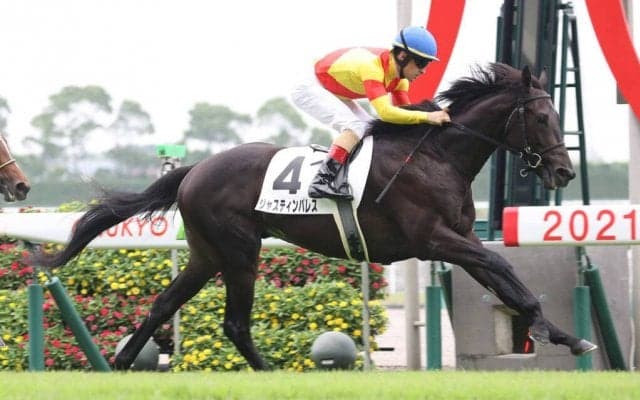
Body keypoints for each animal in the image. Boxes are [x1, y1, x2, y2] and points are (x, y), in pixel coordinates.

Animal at [31, 63, 596, 371]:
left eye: (556, 115)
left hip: (206, 254)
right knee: (234, 322)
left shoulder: (456, 239)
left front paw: (566, 337)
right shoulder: (434, 239)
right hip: (240, 251)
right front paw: (546, 330)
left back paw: (122, 364)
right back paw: (267, 371)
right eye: (541, 116)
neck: (436, 156)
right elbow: (505, 270)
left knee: (163, 305)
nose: (564, 171)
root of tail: (195, 170)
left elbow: (504, 280)